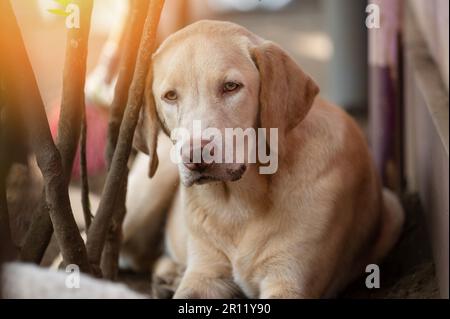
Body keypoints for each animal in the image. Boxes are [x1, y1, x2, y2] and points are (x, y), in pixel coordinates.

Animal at [127, 20, 404, 300]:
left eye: (231, 86)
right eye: (170, 96)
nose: (195, 155)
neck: (238, 204)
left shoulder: (288, 280)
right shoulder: (204, 275)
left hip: (394, 209)